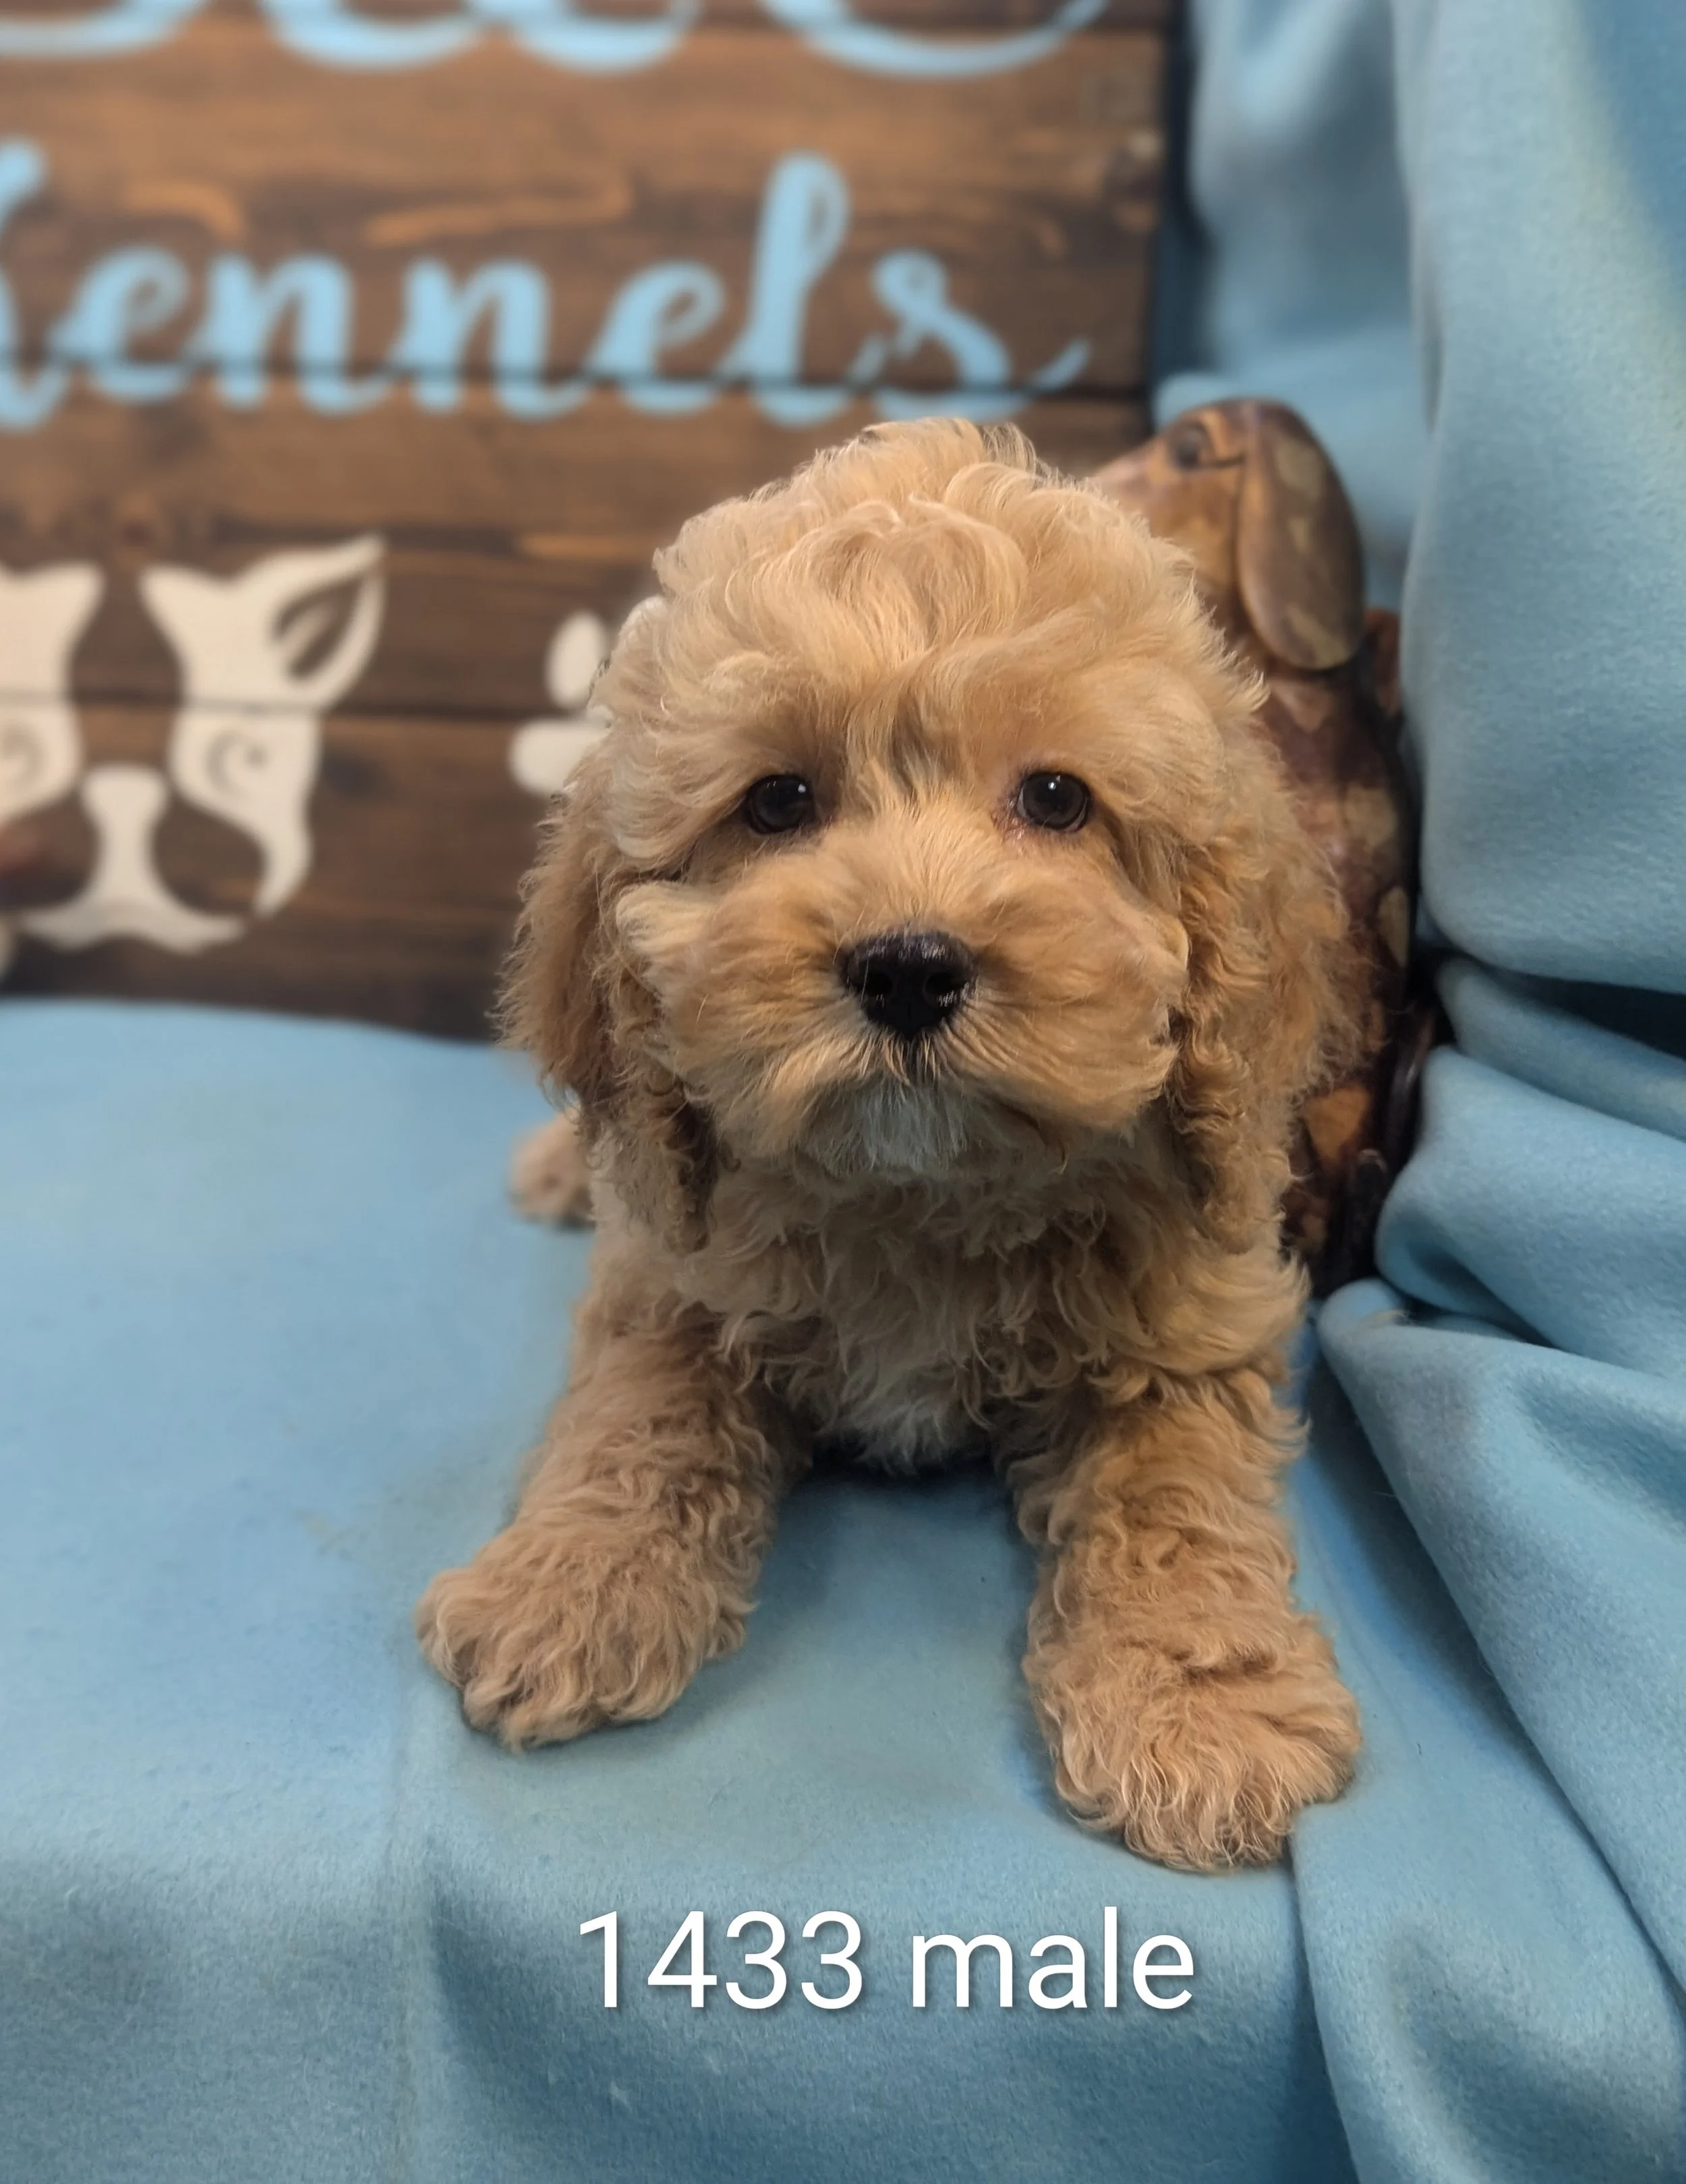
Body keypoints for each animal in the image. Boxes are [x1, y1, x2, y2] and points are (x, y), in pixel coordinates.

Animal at [417, 418, 1362, 1870]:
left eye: (1056, 797)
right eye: (776, 801)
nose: (909, 966)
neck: (920, 1187)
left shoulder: (1194, 1316)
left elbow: (1174, 1494)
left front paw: (1202, 1710)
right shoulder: (674, 1274)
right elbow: (638, 1412)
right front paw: (566, 1585)